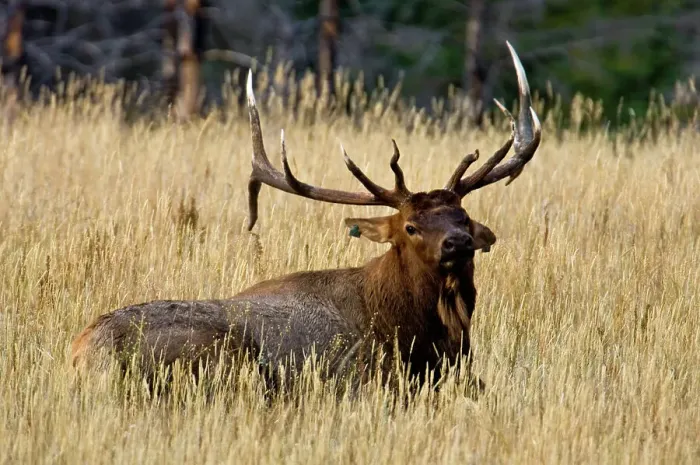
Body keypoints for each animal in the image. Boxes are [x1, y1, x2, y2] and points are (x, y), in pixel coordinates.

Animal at [71, 41, 541, 394]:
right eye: (410, 227)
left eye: (463, 217)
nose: (457, 243)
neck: (423, 335)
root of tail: (84, 352)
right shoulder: (363, 377)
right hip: (224, 355)